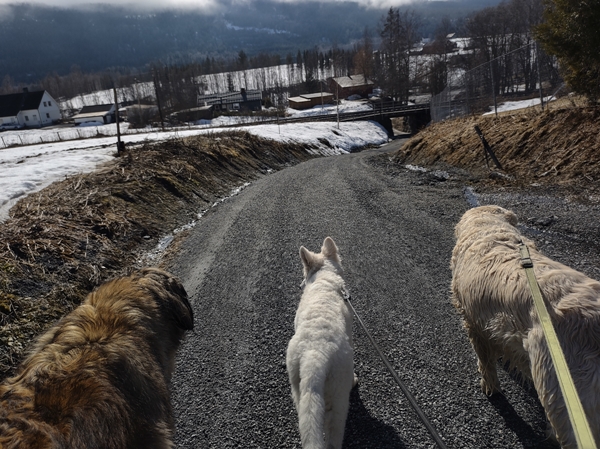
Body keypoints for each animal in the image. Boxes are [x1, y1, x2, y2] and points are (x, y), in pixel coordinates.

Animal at [286, 236, 356, 446]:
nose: (300, 285)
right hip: (339, 396)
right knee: (333, 435)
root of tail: (315, 356)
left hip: (299, 387)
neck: (324, 278)